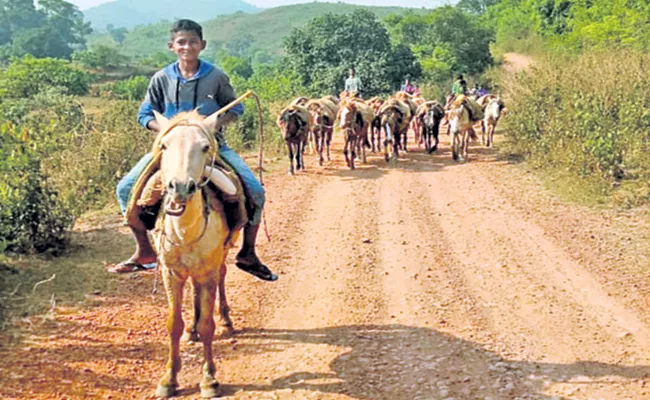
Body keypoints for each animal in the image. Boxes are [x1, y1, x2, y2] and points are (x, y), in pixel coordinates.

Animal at [149, 108, 243, 396]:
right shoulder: (171, 273)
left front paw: (209, 378)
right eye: (164, 145)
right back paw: (192, 328)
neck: (185, 232)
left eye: (204, 147)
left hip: (221, 256)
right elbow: (173, 324)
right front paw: (169, 378)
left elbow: (208, 325)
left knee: (222, 275)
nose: (180, 187)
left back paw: (226, 319)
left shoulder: (208, 272)